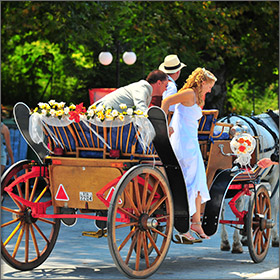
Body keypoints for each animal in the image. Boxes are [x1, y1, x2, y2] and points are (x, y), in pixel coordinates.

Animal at [214, 110, 278, 254]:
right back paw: (236, 244)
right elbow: (273, 204)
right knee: (238, 204)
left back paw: (226, 242)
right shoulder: (275, 177)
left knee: (222, 207)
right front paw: (275, 237)